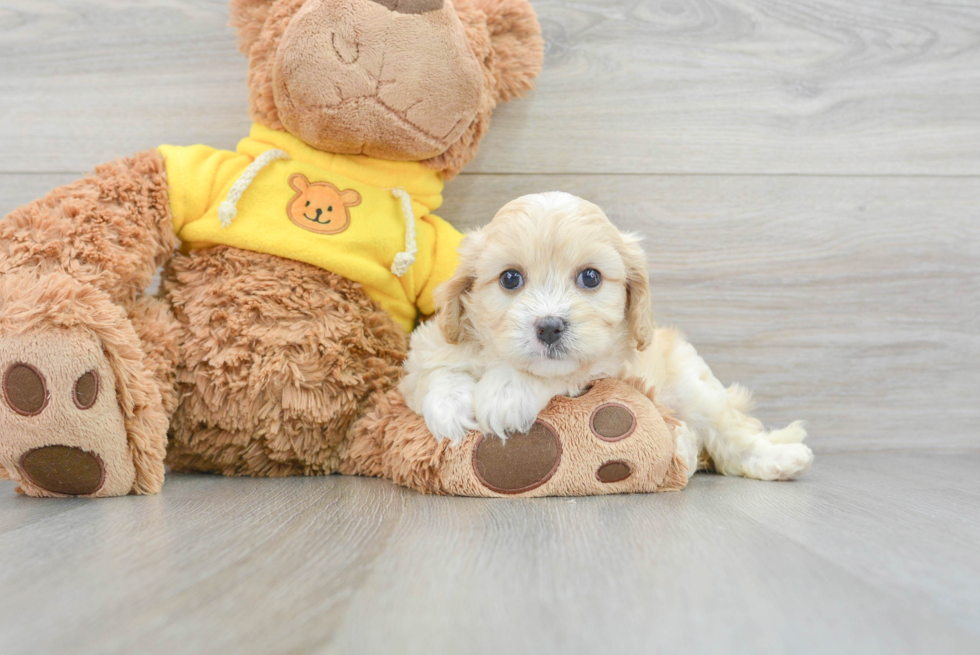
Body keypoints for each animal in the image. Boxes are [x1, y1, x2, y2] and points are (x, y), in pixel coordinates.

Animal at [398, 192, 812, 480]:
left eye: (591, 277)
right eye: (510, 278)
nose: (549, 327)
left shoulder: (606, 363)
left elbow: (563, 372)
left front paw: (507, 391)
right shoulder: (426, 349)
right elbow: (436, 370)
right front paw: (450, 405)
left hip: (695, 385)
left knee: (732, 439)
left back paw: (781, 458)